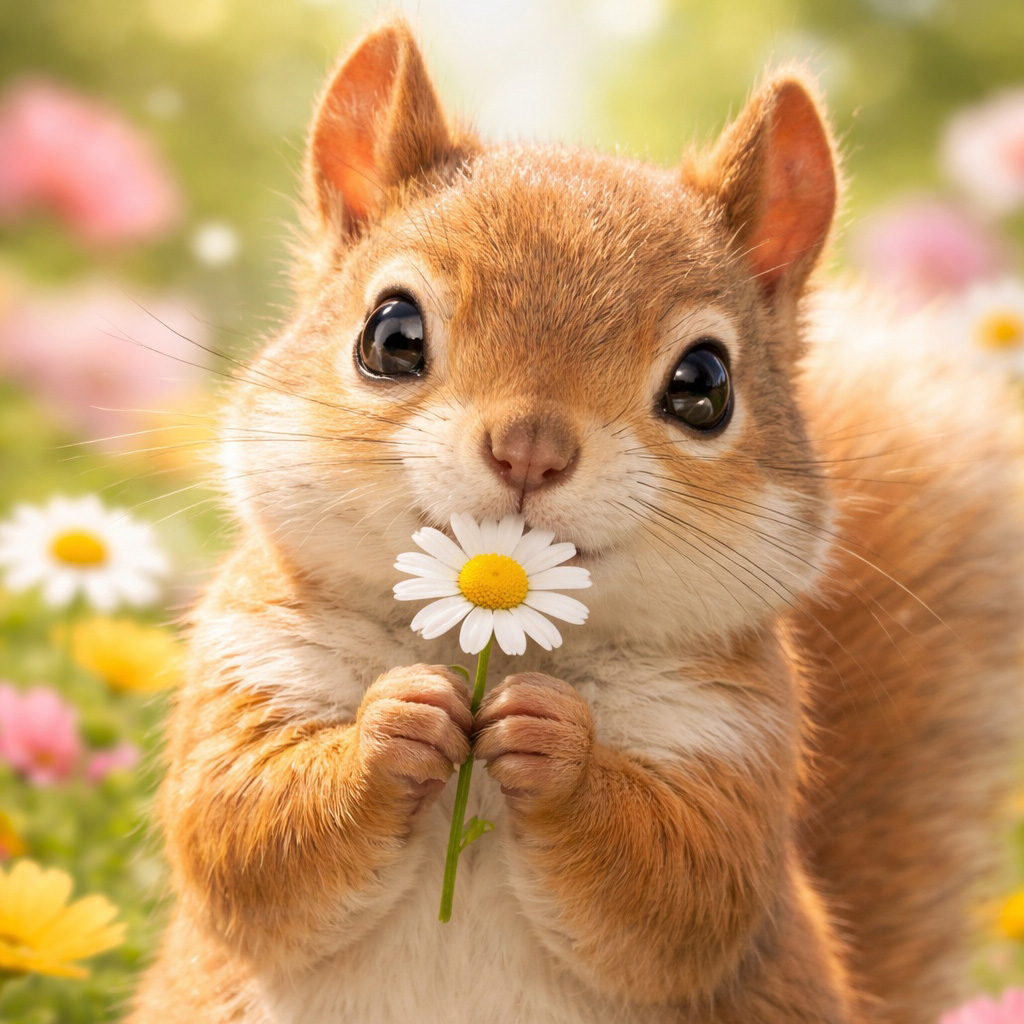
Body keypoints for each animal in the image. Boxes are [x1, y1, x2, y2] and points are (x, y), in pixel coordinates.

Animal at [129, 18, 1024, 1024]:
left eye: (705, 384)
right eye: (390, 334)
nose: (530, 448)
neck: (498, 642)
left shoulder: (733, 733)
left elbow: (685, 885)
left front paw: (556, 744)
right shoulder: (254, 656)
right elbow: (236, 827)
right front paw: (394, 723)